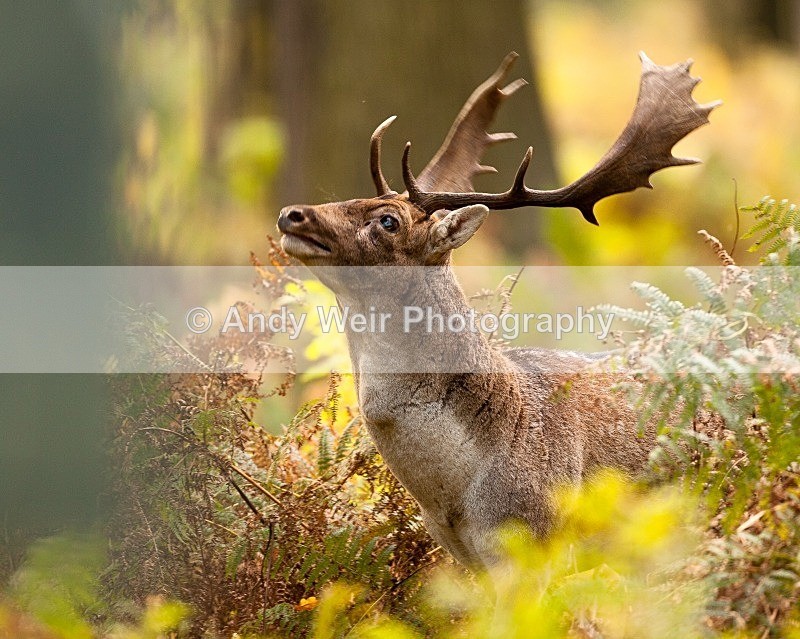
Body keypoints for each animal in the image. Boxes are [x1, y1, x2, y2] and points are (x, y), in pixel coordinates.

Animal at [276, 52, 719, 570]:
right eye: (353, 196)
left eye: (388, 221)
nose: (292, 214)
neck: (459, 498)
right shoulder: (463, 559)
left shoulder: (540, 545)